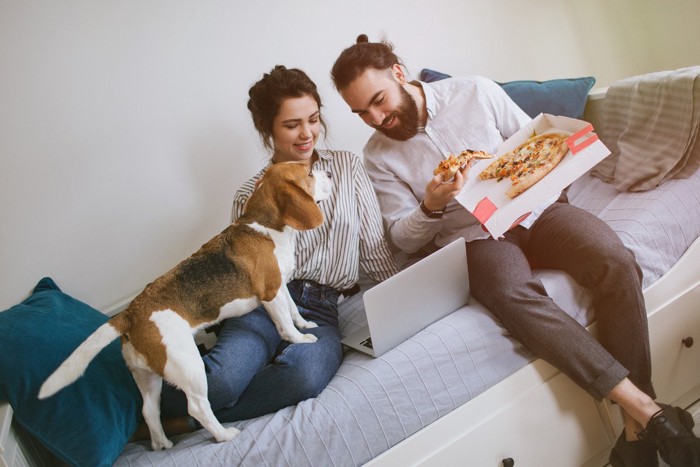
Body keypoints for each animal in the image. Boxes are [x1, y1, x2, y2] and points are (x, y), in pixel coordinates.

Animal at [38, 161, 334, 450]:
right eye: (309, 172)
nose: (330, 173)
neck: (265, 226)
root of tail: (130, 314)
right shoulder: (271, 294)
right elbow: (285, 326)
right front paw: (301, 338)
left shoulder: (281, 286)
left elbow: (293, 310)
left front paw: (306, 324)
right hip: (189, 365)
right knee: (197, 407)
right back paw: (224, 434)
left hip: (148, 376)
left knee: (149, 411)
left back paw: (162, 444)